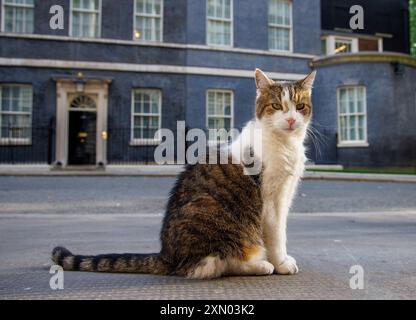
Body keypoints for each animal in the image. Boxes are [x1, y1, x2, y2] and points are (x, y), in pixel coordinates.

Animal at [51, 69, 316, 278]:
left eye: (300, 106)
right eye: (276, 106)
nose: (291, 120)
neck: (285, 143)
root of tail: (167, 254)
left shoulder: (286, 194)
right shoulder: (272, 200)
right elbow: (277, 234)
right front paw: (281, 263)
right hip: (215, 219)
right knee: (216, 263)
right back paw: (261, 265)